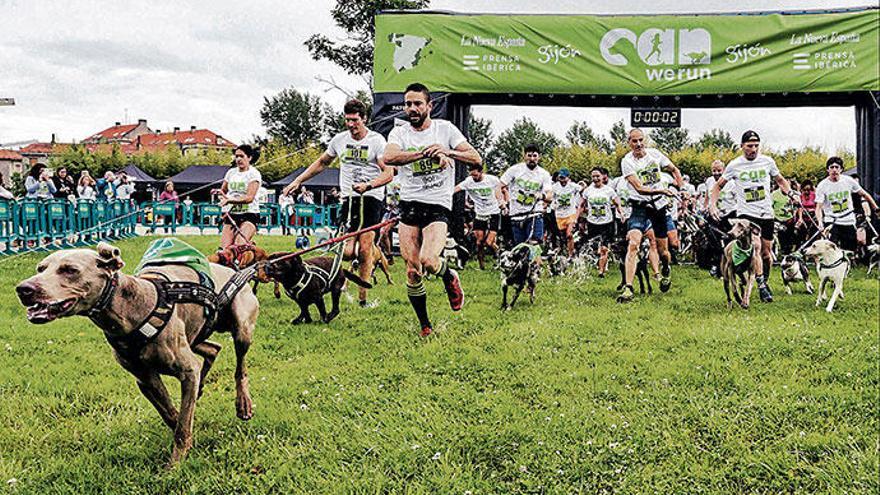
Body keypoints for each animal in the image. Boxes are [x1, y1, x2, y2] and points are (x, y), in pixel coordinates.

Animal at [16, 242, 258, 466]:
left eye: (69, 270)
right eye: (40, 268)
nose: (23, 289)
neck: (132, 307)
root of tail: (234, 270)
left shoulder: (187, 370)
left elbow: (182, 423)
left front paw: (176, 463)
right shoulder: (145, 379)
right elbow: (172, 415)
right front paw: (187, 436)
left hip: (241, 327)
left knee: (240, 366)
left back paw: (243, 403)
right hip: (195, 336)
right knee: (213, 349)